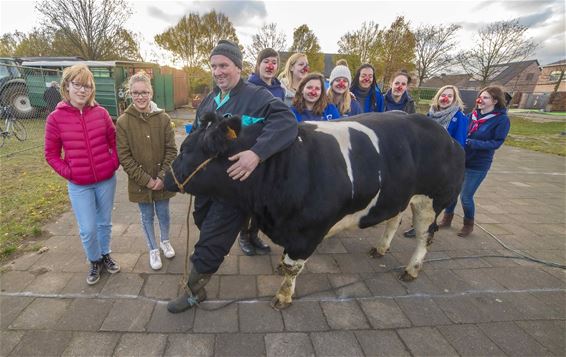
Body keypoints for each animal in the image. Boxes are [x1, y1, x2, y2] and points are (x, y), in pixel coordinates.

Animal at [164, 112, 466, 308]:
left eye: (185, 149)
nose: (165, 178)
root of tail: (447, 137)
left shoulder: (307, 231)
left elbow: (292, 267)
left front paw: (283, 297)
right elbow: (286, 262)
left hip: (432, 201)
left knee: (425, 236)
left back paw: (411, 270)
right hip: (399, 197)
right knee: (393, 221)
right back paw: (380, 249)